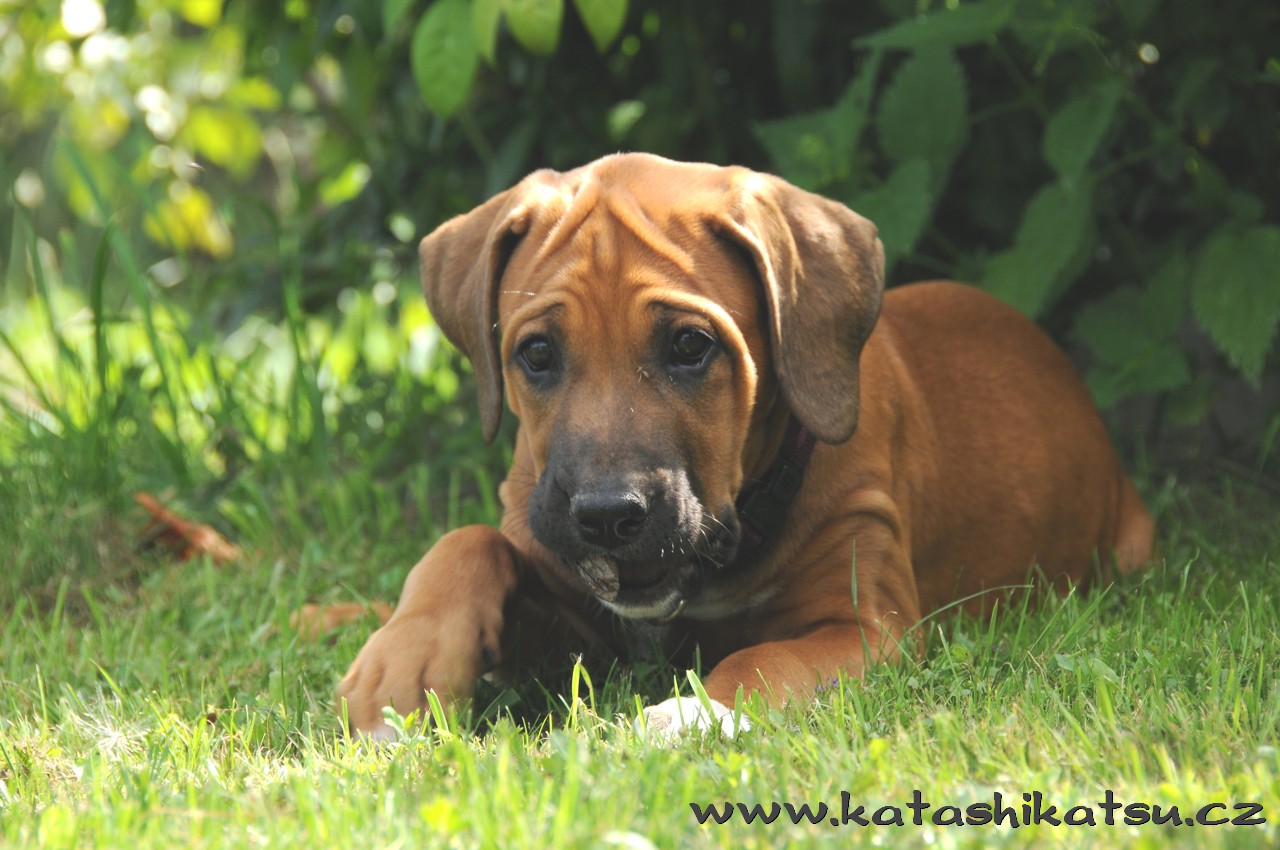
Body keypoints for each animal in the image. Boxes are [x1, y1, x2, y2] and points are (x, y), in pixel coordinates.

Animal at [336, 153, 1154, 738]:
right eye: (536, 355)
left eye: (690, 346)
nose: (607, 516)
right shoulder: (578, 612)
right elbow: (469, 543)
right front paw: (401, 668)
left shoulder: (869, 627)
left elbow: (764, 657)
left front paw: (690, 713)